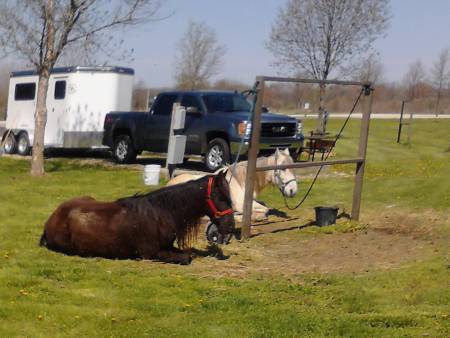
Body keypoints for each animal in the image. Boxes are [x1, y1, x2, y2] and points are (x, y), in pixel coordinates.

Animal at [40, 172, 236, 264]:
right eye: (221, 197)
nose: (230, 227)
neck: (160, 213)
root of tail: (52, 218)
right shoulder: (151, 253)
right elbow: (186, 257)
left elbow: (186, 253)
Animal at [167, 149, 298, 220]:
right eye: (283, 168)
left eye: (293, 167)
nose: (293, 191)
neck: (241, 181)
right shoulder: (241, 204)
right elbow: (265, 210)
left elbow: (265, 207)